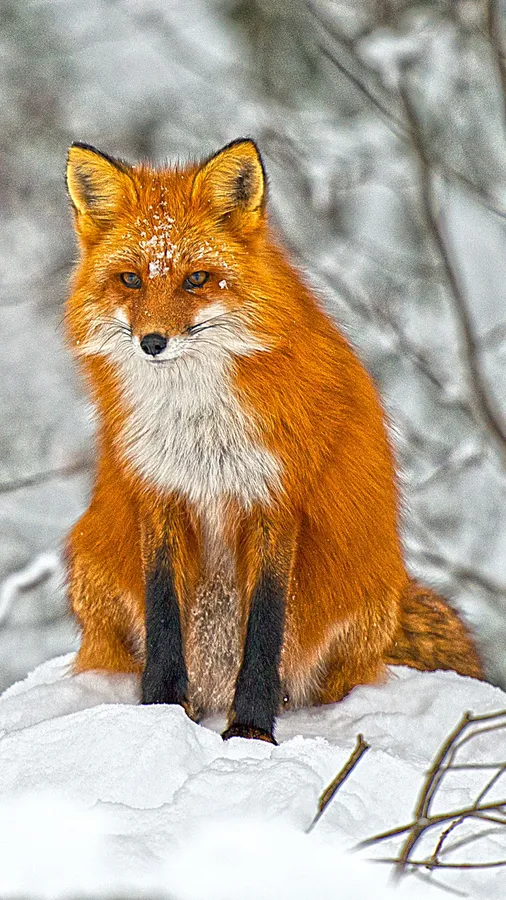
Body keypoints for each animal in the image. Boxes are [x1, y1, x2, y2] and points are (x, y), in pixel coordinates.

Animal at [64, 138, 483, 744]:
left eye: (196, 279)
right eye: (131, 280)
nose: (152, 342)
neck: (198, 426)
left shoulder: (276, 500)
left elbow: (265, 630)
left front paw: (251, 731)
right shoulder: (159, 494)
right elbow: (165, 619)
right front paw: (161, 713)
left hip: (364, 594)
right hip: (90, 558)